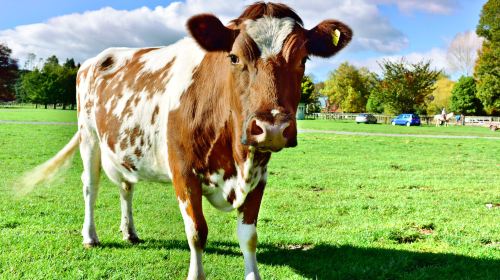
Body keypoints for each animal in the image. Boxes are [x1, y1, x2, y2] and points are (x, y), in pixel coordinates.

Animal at [18, 1, 352, 278]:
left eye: (303, 58)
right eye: (234, 57)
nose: (271, 128)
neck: (235, 160)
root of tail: (98, 58)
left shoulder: (259, 174)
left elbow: (248, 237)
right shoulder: (183, 172)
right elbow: (196, 232)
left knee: (126, 188)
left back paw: (130, 232)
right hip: (89, 136)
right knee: (91, 185)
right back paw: (90, 236)